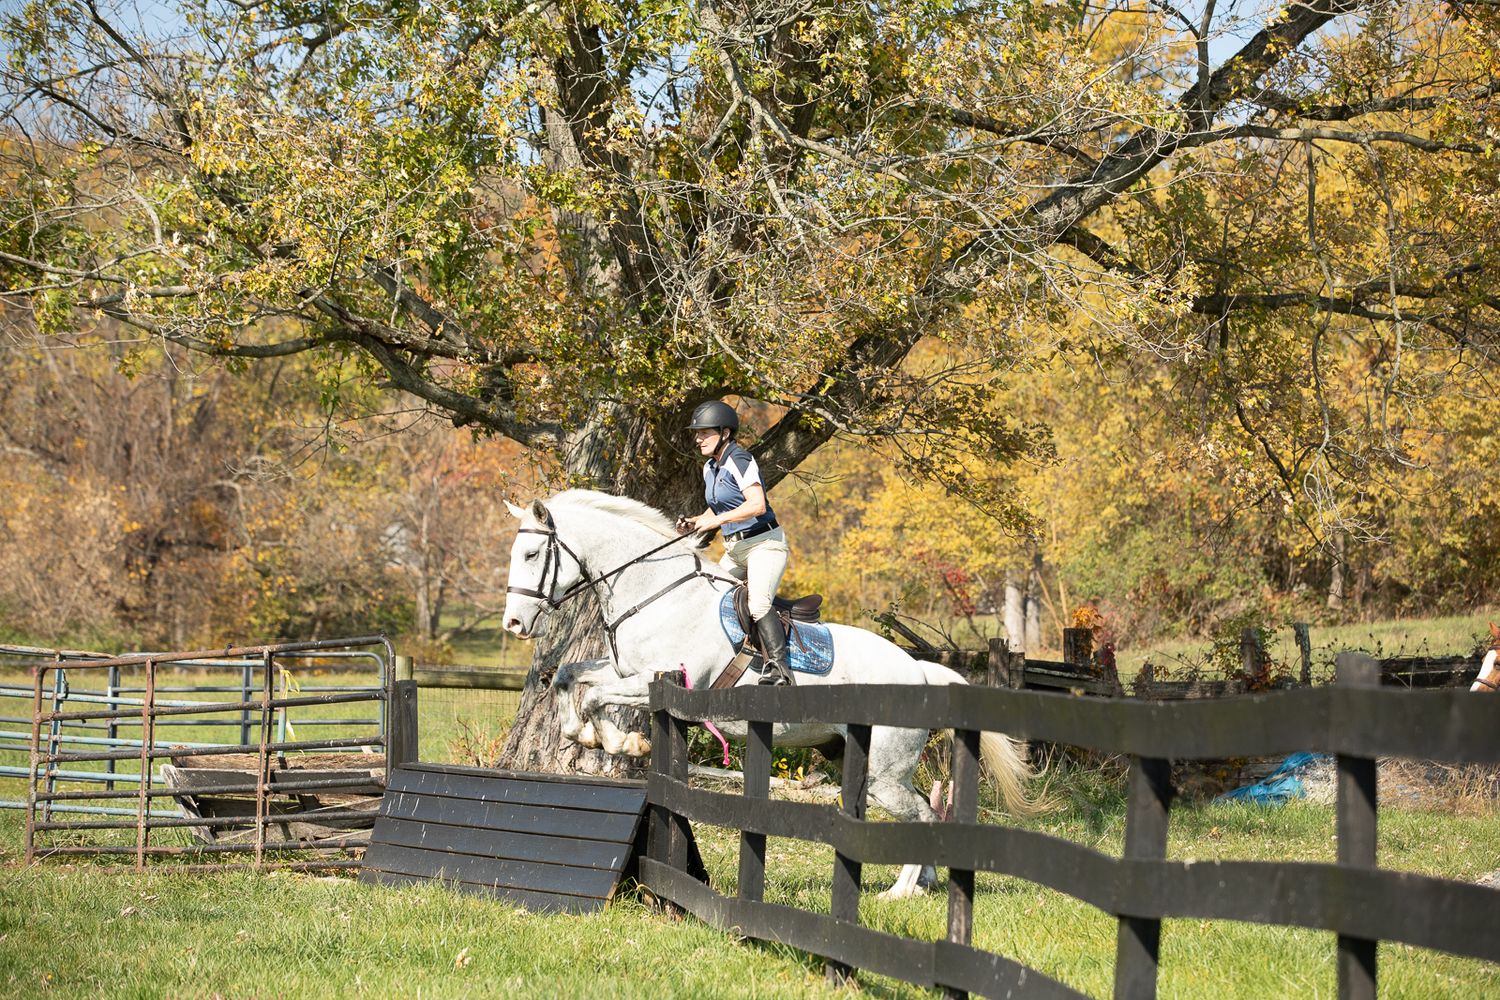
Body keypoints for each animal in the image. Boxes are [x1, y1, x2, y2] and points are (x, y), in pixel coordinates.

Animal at [501, 489, 1042, 898]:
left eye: (530, 555)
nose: (513, 624)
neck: (657, 593)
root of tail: (919, 673)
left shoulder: (660, 681)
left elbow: (594, 696)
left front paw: (618, 742)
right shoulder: (622, 669)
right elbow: (569, 675)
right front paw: (586, 734)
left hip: (885, 774)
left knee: (922, 815)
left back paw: (900, 892)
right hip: (867, 765)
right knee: (923, 814)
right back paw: (922, 885)